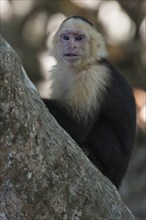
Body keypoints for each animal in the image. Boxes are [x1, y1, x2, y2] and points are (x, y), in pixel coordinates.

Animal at [42, 15, 136, 189]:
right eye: (66, 37)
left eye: (79, 38)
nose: (71, 45)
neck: (80, 66)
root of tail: (119, 178)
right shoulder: (59, 73)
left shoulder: (92, 78)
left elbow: (78, 127)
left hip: (116, 162)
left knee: (98, 126)